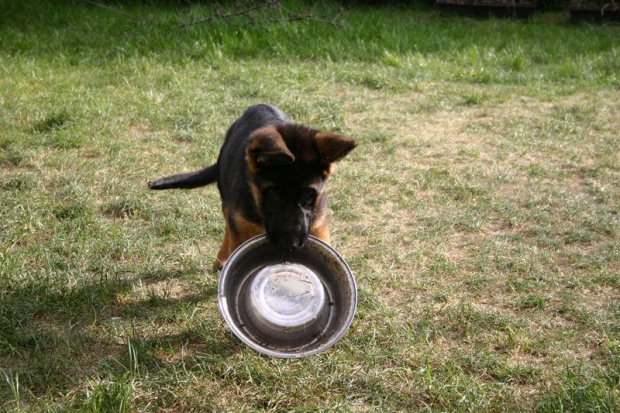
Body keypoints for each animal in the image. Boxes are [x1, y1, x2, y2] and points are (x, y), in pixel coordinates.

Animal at [147, 104, 356, 268]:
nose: (290, 246)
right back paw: (221, 259)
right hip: (227, 199)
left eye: (309, 195)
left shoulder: (318, 225)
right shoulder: (241, 222)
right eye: (273, 194)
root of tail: (260, 105)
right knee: (228, 225)